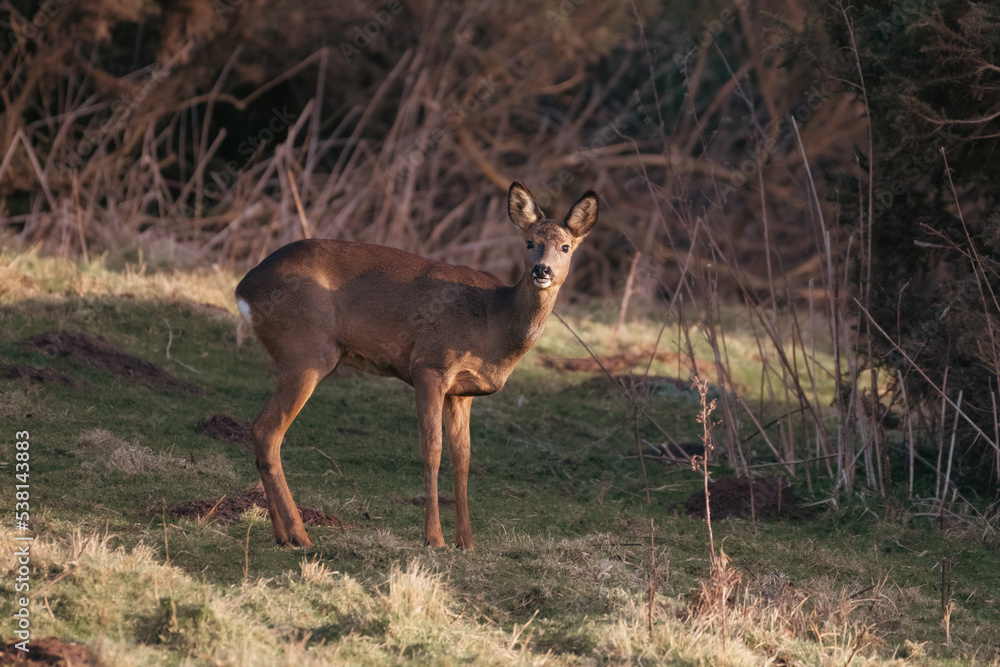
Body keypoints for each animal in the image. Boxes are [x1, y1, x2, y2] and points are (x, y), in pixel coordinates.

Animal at [235, 181, 598, 549]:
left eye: (565, 246)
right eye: (530, 242)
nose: (542, 270)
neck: (493, 322)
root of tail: (243, 289)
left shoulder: (461, 392)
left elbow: (463, 457)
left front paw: (466, 541)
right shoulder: (429, 366)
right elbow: (432, 449)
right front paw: (434, 537)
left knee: (262, 430)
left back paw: (282, 535)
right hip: (307, 351)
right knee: (267, 431)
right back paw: (300, 535)